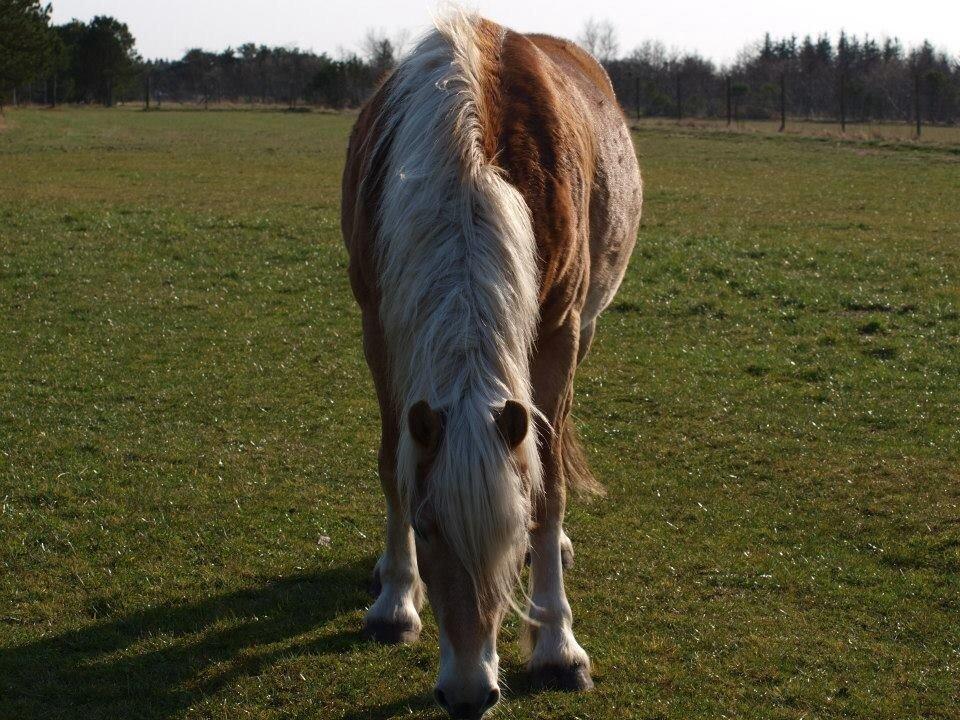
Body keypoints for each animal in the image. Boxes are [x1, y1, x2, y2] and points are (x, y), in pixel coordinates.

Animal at [342, 11, 640, 720]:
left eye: (505, 530)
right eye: (426, 527)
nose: (468, 694)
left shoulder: (559, 334)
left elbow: (549, 484)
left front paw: (558, 646)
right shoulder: (380, 327)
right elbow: (393, 463)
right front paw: (396, 601)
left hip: (586, 327)